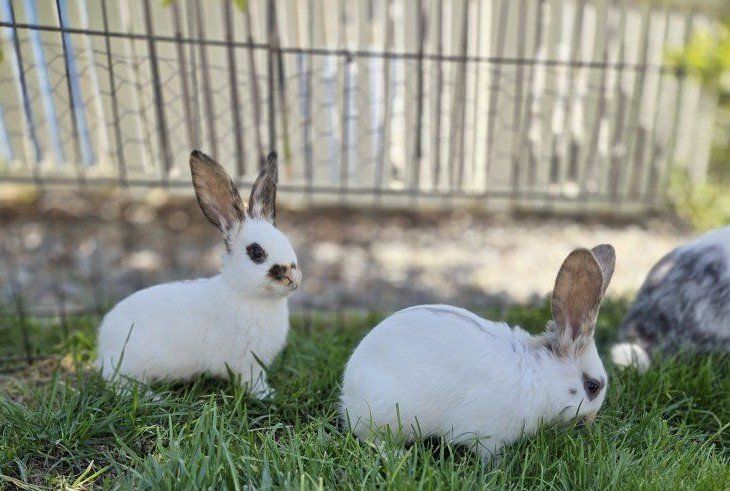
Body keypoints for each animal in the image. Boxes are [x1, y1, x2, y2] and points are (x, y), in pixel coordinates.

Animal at [96, 150, 301, 398]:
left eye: (287, 241)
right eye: (256, 252)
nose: (294, 279)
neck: (247, 295)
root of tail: (103, 344)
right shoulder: (246, 363)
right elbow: (252, 381)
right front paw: (266, 394)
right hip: (128, 367)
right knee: (121, 386)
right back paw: (154, 397)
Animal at [340, 244, 616, 464]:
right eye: (592, 386)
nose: (589, 422)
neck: (540, 376)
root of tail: (348, 398)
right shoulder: (488, 434)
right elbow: (489, 454)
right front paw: (498, 468)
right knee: (372, 439)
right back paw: (400, 457)